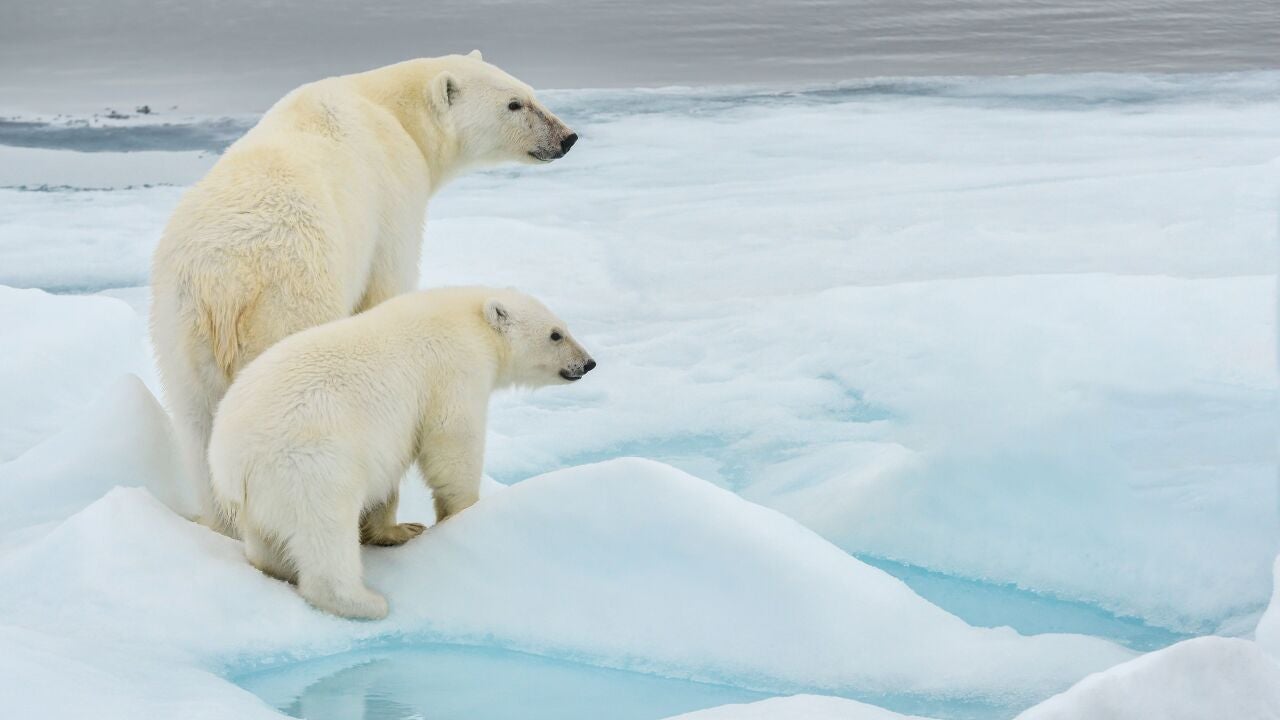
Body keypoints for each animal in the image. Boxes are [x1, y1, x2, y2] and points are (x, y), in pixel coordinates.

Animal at [151, 51, 576, 538]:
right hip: (288, 305)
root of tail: (224, 287)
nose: (567, 137)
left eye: (531, 93)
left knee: (198, 429)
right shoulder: (393, 195)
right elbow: (389, 287)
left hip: (178, 333)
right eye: (514, 104)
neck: (386, 105)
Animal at [207, 286, 595, 619]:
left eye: (563, 327)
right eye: (556, 334)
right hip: (309, 464)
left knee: (267, 540)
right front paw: (464, 512)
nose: (588, 363)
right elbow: (452, 442)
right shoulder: (455, 368)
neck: (469, 316)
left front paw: (402, 529)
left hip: (259, 497)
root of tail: (231, 460)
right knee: (326, 530)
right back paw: (364, 602)